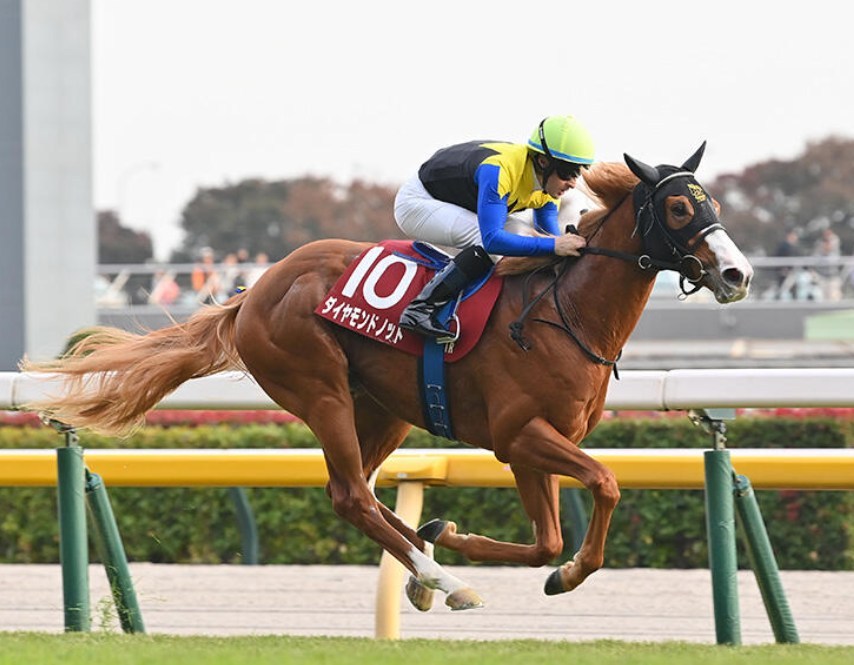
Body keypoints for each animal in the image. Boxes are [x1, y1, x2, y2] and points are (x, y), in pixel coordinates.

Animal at [22, 143, 753, 612]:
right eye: (679, 209)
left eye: (711, 201)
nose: (738, 273)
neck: (562, 312)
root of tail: (255, 291)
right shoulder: (519, 434)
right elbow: (603, 483)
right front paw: (560, 574)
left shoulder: (532, 444)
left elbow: (547, 537)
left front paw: (456, 536)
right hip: (318, 390)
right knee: (352, 496)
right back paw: (443, 578)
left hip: (383, 408)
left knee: (358, 493)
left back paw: (428, 568)